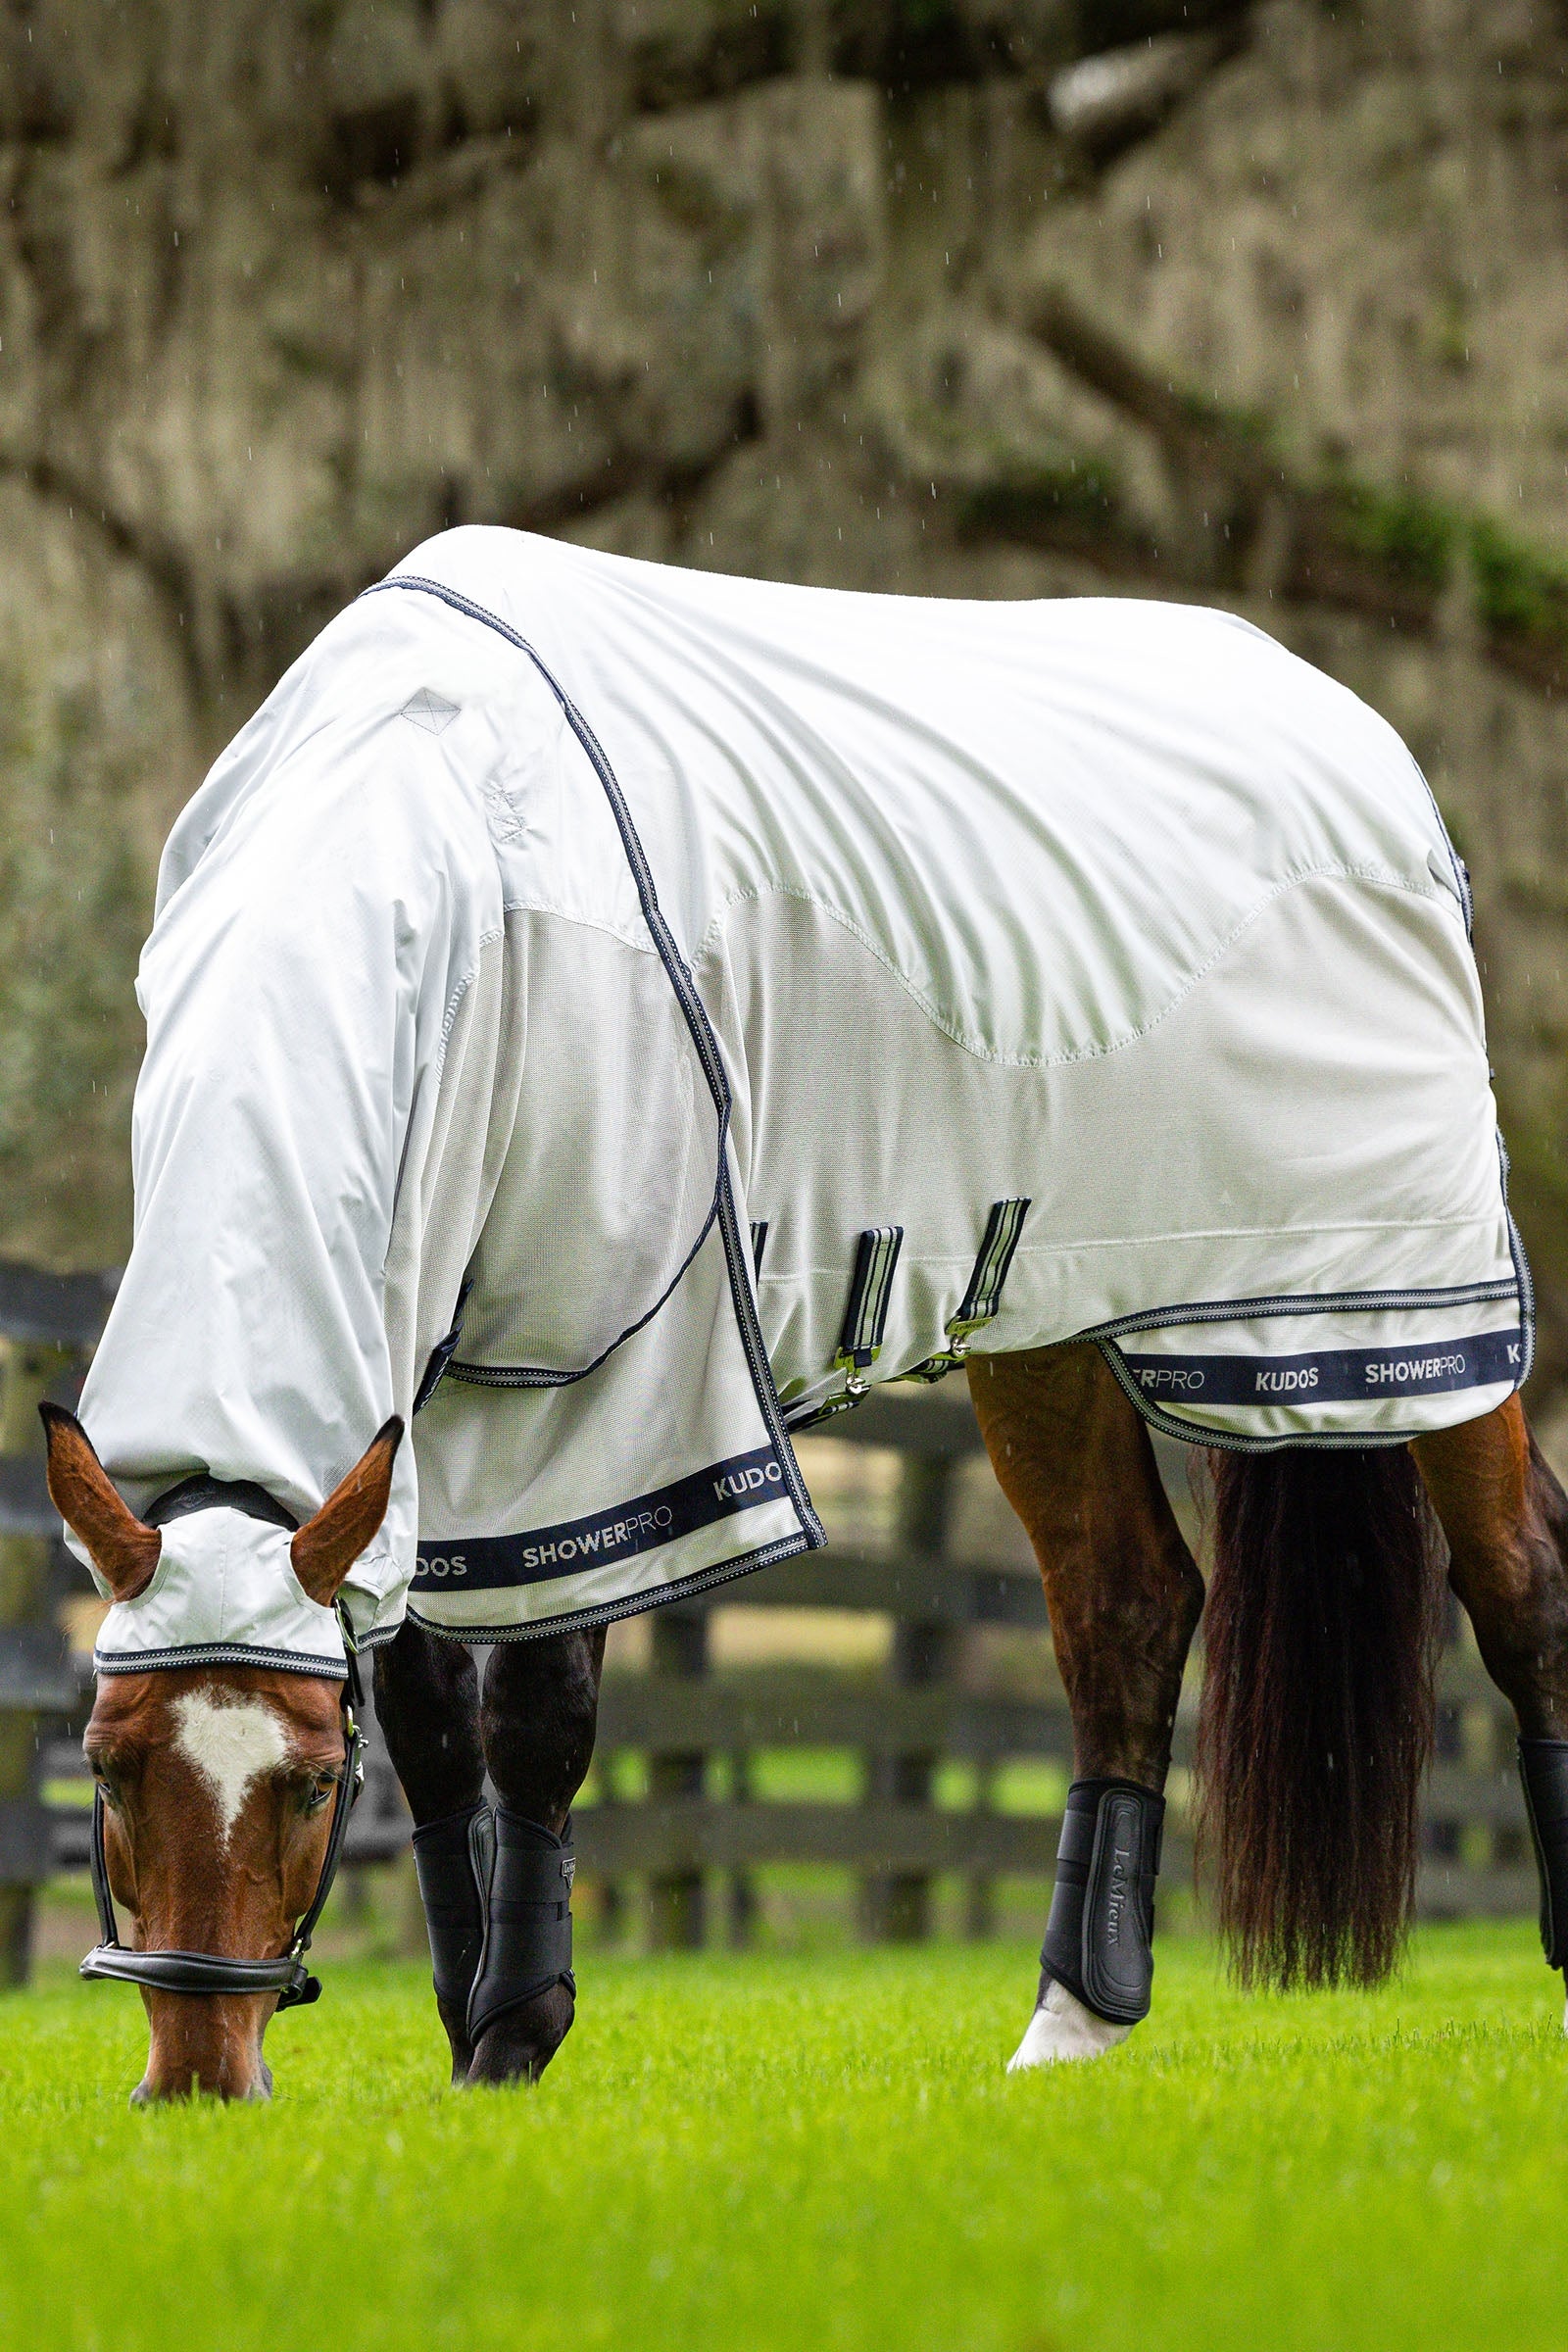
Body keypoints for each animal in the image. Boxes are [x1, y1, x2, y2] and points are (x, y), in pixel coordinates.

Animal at [43, 528, 1568, 2100]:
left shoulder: (606, 1398)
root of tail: (1369, 753)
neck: (457, 842)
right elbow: (431, 1731)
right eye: (105, 1764)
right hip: (1051, 1328)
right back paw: (1070, 2022)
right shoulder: (413, 1423)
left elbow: (535, 1718)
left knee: (1521, 1584)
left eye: (304, 1787)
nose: (199, 2075)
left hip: (1409, 1314)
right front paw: (472, 2015)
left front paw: (517, 2031)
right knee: (1127, 1611)